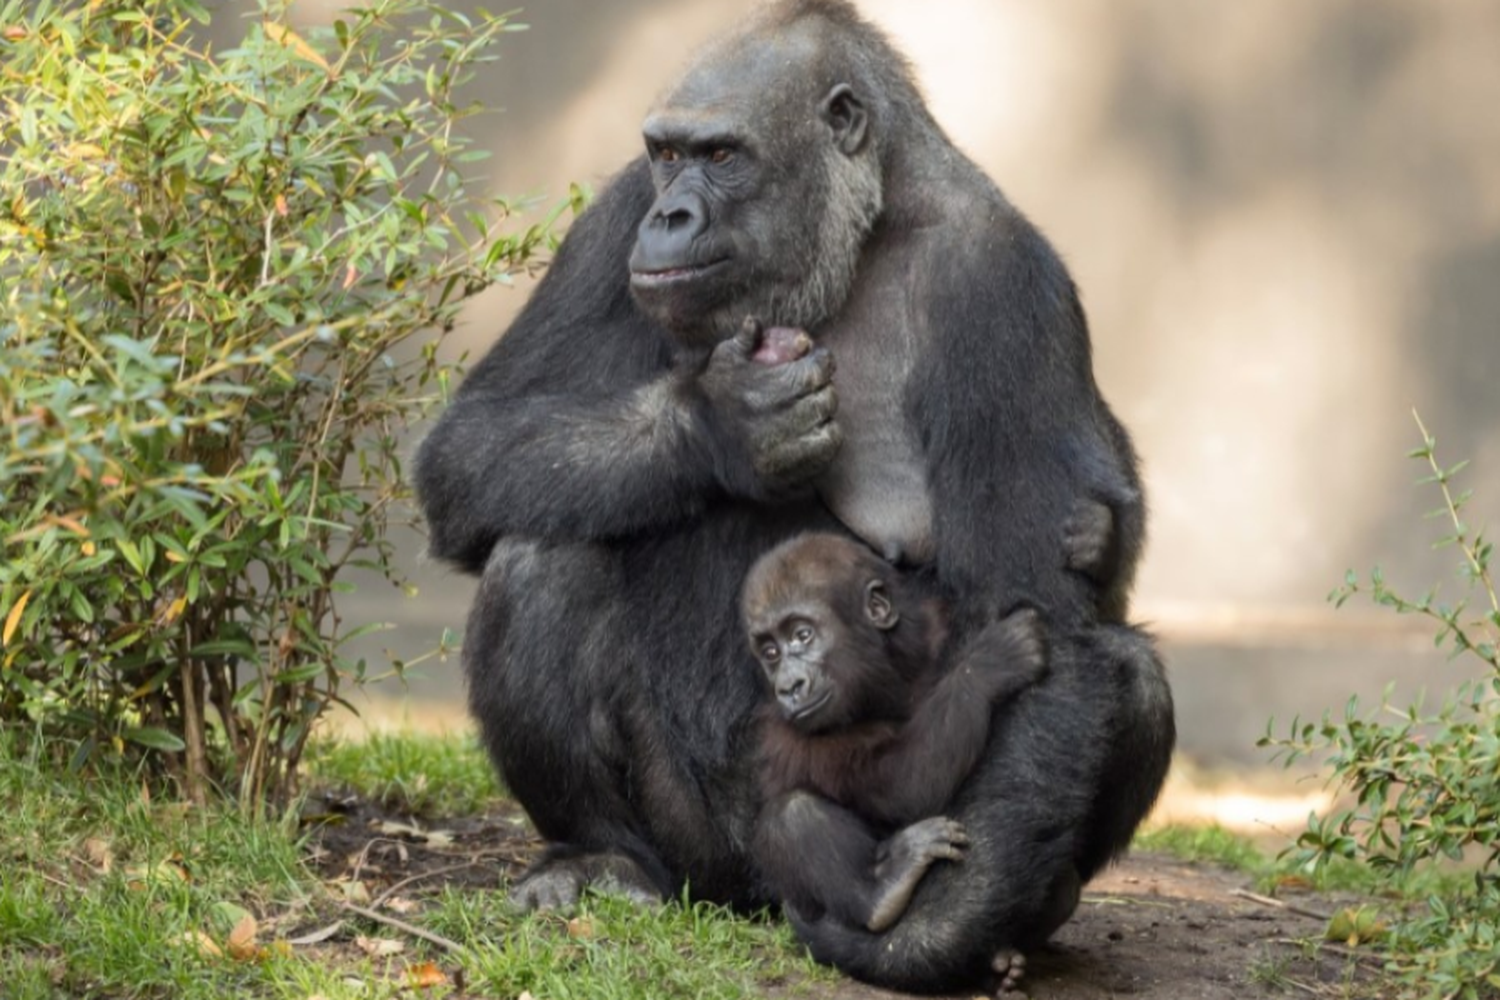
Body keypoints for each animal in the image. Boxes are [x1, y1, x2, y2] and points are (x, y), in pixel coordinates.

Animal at [738, 536, 1044, 935]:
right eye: (771, 653)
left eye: (802, 635)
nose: (789, 687)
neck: (889, 672)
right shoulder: (789, 733)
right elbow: (902, 785)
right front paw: (987, 666)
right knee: (791, 813)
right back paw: (880, 891)